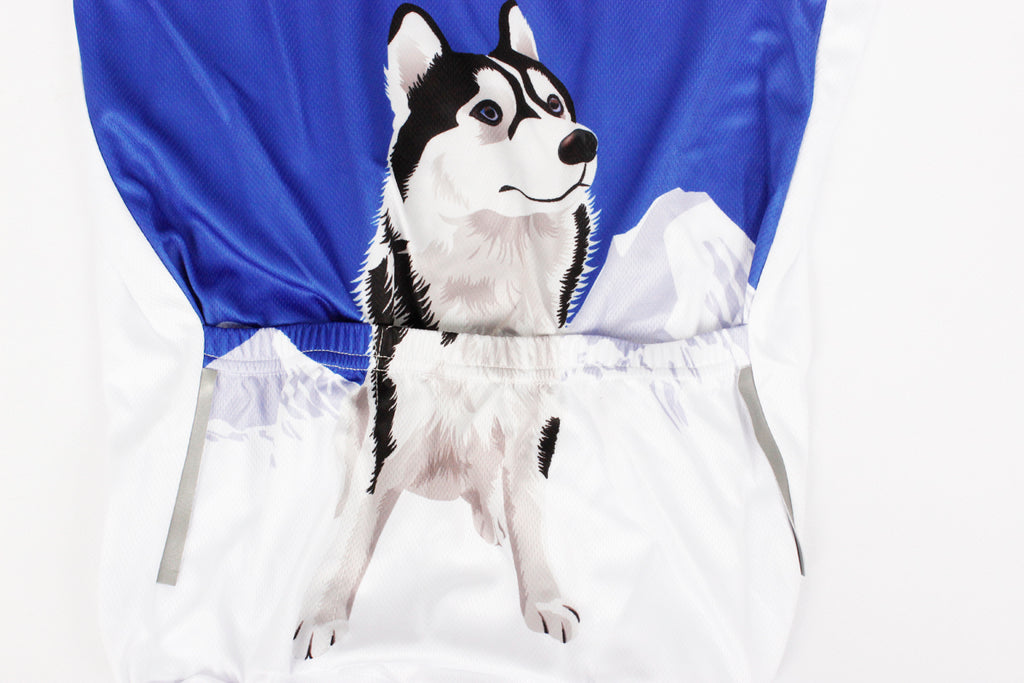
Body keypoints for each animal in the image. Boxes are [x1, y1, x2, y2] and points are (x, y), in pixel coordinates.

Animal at [294, 1, 597, 659]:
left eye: (553, 104)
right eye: (488, 113)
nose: (582, 141)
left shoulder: (536, 422)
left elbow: (530, 514)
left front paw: (543, 599)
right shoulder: (391, 418)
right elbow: (357, 524)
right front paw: (323, 612)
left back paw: (489, 515)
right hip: (361, 413)